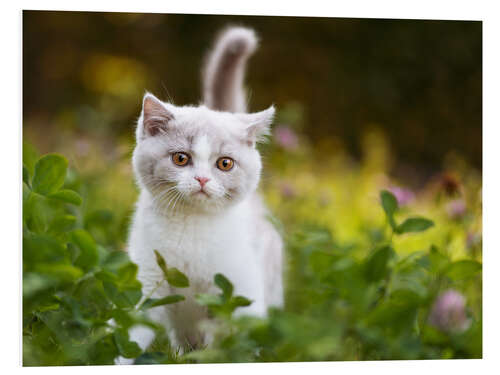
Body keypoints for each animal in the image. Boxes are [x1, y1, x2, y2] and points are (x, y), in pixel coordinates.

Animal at [121, 27, 284, 362]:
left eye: (225, 163)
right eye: (181, 158)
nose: (202, 179)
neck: (191, 227)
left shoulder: (240, 289)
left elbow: (233, 338)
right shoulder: (149, 280)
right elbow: (131, 329)